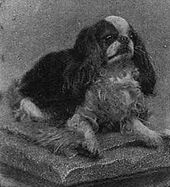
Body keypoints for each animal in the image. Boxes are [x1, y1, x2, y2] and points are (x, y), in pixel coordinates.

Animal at [5, 15, 170, 157]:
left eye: (131, 37)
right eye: (109, 38)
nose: (124, 39)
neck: (114, 72)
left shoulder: (124, 111)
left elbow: (136, 123)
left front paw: (152, 135)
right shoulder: (79, 114)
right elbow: (85, 125)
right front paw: (91, 144)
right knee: (27, 104)